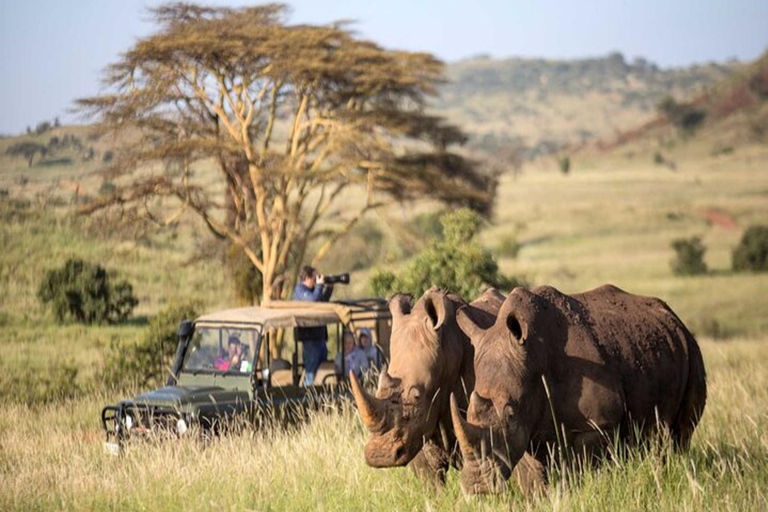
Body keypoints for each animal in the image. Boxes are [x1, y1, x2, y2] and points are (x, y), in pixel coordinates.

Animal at [450, 286, 708, 494]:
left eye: (510, 414)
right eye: (469, 412)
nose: (477, 486)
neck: (534, 359)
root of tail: (676, 319)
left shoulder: (596, 424)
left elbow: (584, 469)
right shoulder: (526, 427)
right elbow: (531, 477)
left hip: (691, 349)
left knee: (680, 434)